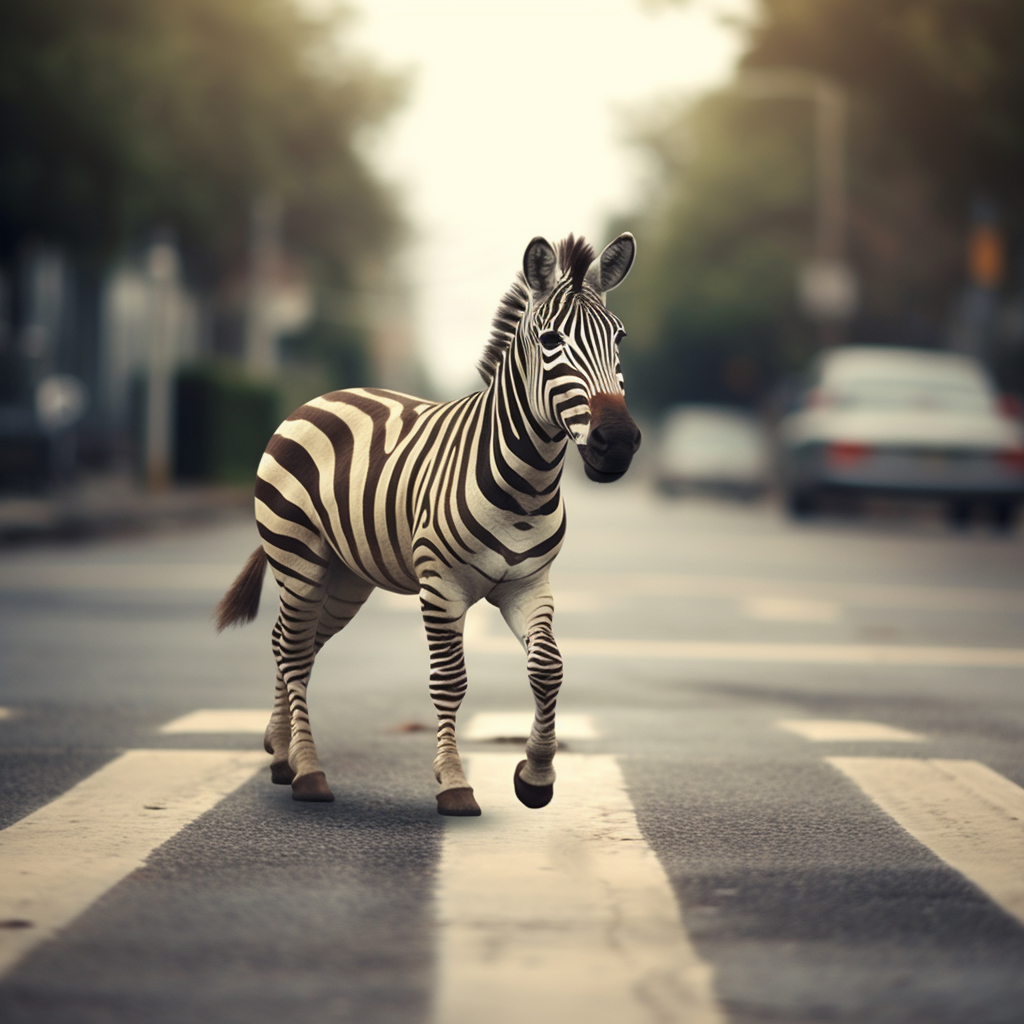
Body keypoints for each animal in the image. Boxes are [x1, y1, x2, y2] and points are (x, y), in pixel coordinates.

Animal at [216, 232, 638, 815]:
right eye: (551, 340)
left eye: (619, 338)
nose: (616, 443)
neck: (525, 486)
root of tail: (321, 397)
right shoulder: (442, 587)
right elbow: (450, 681)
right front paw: (455, 782)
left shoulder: (530, 585)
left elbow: (547, 668)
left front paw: (535, 777)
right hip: (298, 558)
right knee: (295, 651)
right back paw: (308, 772)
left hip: (345, 579)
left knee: (292, 643)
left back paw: (281, 753)